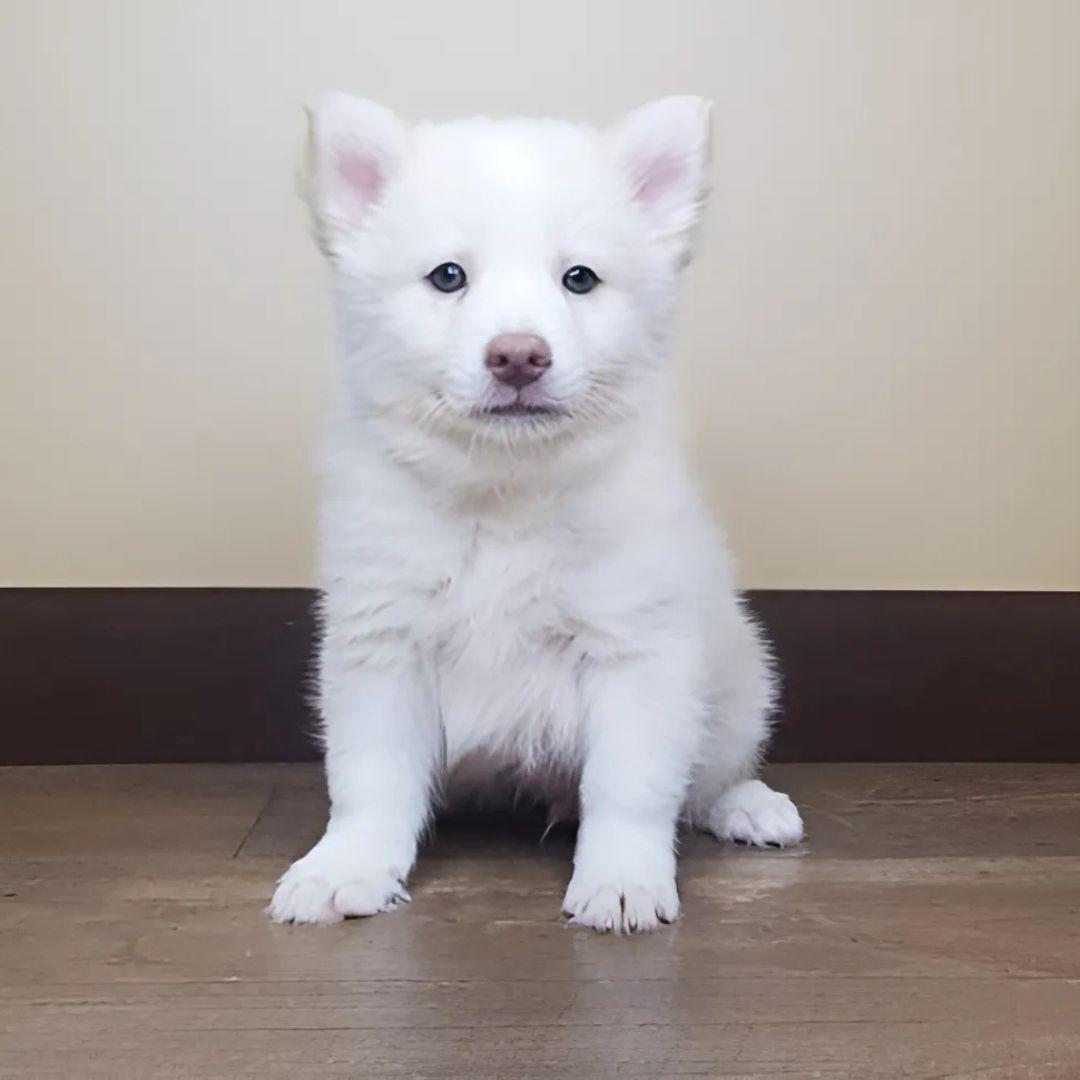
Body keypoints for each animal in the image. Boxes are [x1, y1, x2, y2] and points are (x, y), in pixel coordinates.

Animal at [265, 95, 799, 937]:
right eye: (448, 277)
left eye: (579, 279)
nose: (518, 355)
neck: (505, 490)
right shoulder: (382, 642)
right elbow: (370, 781)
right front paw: (346, 865)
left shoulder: (635, 648)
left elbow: (631, 785)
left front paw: (622, 877)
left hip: (742, 683)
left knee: (709, 773)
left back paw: (747, 804)